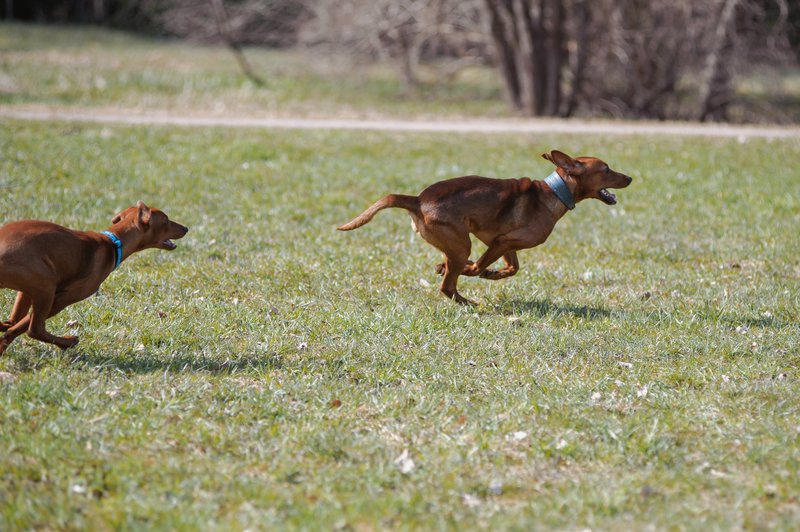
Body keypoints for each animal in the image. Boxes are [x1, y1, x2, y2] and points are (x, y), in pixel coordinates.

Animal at [0, 202, 189, 356]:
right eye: (166, 220)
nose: (186, 228)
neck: (113, 243)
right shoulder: (60, 299)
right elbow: (22, 326)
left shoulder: (27, 293)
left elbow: (14, 323)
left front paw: (3, 338)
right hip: (46, 286)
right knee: (35, 329)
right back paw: (68, 342)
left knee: (17, 323)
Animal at [336, 150, 632, 308]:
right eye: (607, 169)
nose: (630, 177)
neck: (555, 193)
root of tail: (417, 200)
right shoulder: (500, 243)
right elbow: (479, 266)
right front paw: (478, 271)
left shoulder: (504, 243)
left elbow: (512, 268)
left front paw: (493, 273)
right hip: (461, 243)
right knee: (448, 285)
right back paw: (468, 300)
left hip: (455, 243)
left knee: (450, 276)